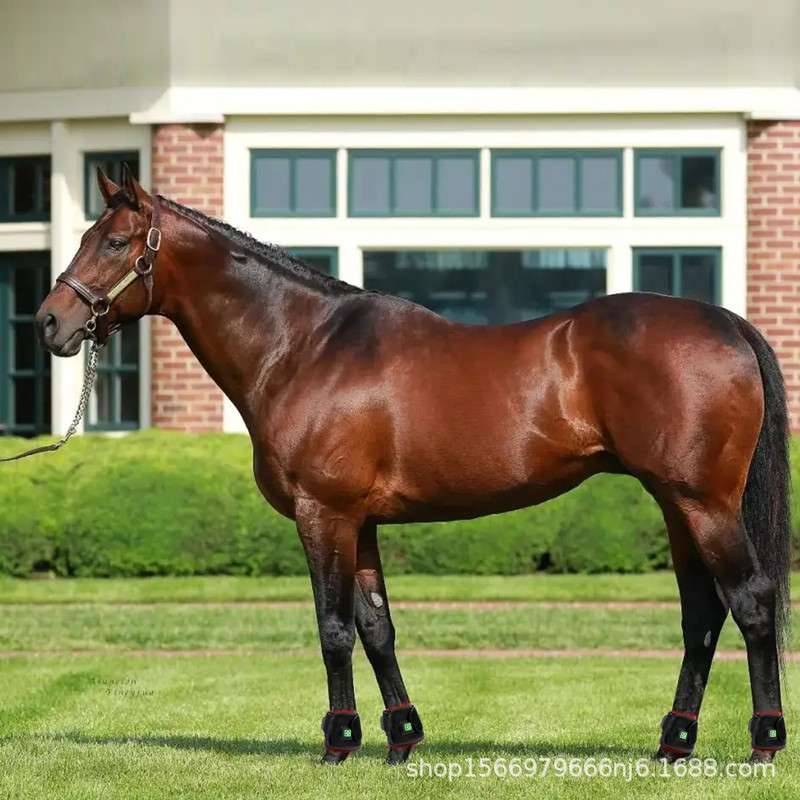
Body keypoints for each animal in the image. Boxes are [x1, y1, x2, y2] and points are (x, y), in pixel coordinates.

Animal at [34, 166, 790, 765]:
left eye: (113, 241)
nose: (49, 322)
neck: (303, 346)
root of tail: (728, 323)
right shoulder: (361, 522)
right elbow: (377, 628)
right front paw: (401, 739)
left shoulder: (323, 515)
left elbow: (333, 628)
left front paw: (338, 744)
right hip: (676, 505)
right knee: (701, 614)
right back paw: (673, 744)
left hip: (704, 503)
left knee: (750, 602)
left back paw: (762, 745)